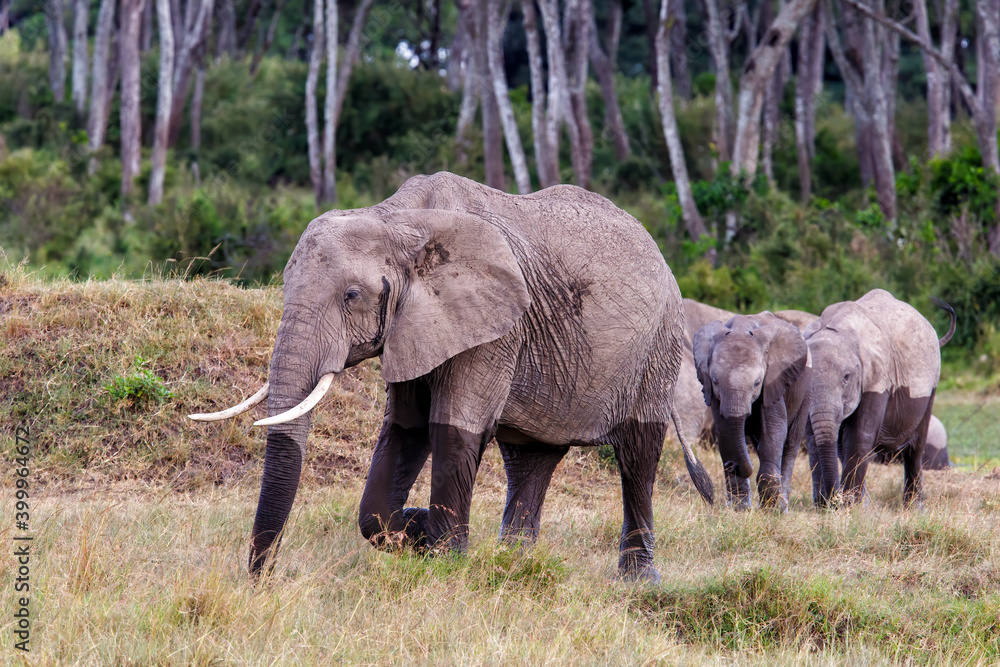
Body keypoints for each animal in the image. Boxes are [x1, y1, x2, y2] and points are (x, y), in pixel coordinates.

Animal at [189, 172, 713, 582]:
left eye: (351, 296)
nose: (262, 580)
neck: (397, 219)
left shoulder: (495, 329)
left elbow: (452, 427)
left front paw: (442, 555)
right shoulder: (414, 324)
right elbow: (404, 429)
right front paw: (417, 529)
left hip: (657, 349)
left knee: (638, 456)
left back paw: (637, 581)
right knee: (531, 458)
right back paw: (513, 564)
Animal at [693, 312, 811, 510]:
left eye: (757, 383)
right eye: (715, 382)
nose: (731, 465)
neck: (741, 327)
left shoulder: (774, 380)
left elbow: (774, 430)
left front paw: (772, 511)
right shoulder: (716, 397)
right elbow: (724, 430)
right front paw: (738, 510)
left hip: (805, 392)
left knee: (789, 446)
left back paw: (782, 506)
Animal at [803, 289, 956, 507]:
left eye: (846, 378)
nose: (834, 501)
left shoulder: (878, 377)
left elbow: (860, 437)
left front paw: (848, 507)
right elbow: (813, 437)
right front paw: (826, 507)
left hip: (932, 382)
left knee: (915, 448)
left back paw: (914, 507)